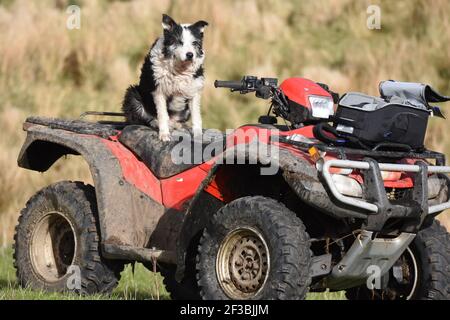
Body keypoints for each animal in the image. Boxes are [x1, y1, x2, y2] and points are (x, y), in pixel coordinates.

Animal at [122, 13, 208, 141]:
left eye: (194, 43)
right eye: (179, 42)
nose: (190, 55)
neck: (179, 69)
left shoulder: (194, 92)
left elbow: (197, 117)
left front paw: (197, 136)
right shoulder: (159, 91)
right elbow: (162, 115)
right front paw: (164, 135)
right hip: (132, 94)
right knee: (145, 119)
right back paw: (157, 123)